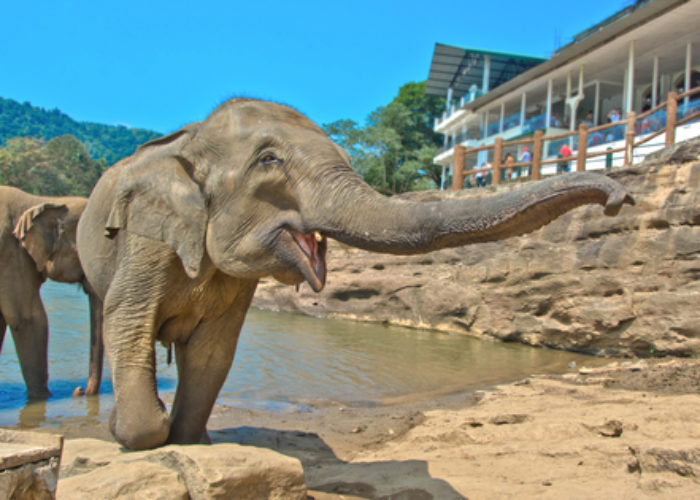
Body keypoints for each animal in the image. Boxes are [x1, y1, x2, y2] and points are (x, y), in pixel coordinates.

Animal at [76, 98, 634, 450]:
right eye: (269, 160)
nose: (620, 199)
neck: (191, 141)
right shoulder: (144, 239)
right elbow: (128, 321)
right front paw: (135, 430)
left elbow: (213, 350)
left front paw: (190, 440)